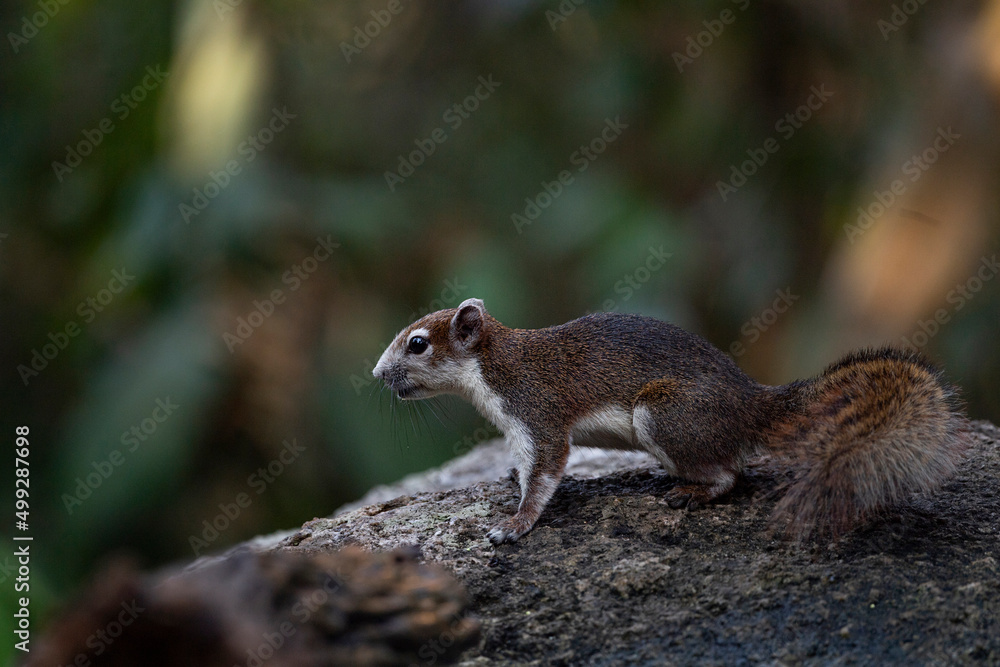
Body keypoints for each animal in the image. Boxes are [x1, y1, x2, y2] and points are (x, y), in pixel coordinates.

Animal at [372, 298, 970, 544]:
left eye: (418, 343)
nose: (377, 374)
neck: (496, 366)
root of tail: (750, 402)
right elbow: (524, 469)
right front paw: (508, 483)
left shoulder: (537, 413)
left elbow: (544, 474)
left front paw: (514, 524)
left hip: (663, 414)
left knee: (730, 475)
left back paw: (691, 492)